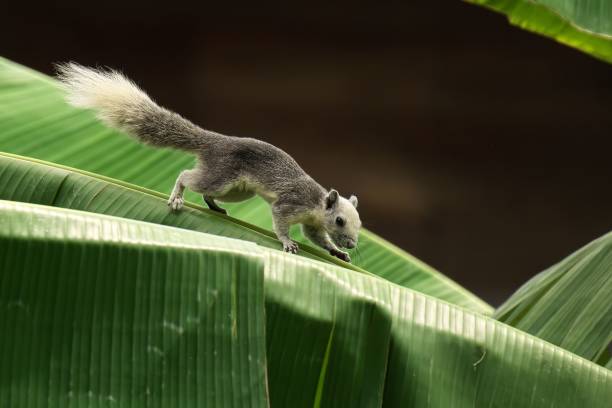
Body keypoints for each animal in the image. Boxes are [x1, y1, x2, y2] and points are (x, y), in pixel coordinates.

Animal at [55, 62, 360, 262]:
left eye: (359, 224)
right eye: (340, 220)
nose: (353, 244)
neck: (317, 203)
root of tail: (214, 142)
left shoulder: (312, 223)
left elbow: (317, 237)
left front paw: (337, 251)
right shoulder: (291, 204)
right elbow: (281, 222)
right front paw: (287, 243)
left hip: (237, 191)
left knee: (208, 193)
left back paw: (215, 207)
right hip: (220, 176)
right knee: (186, 176)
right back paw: (177, 197)